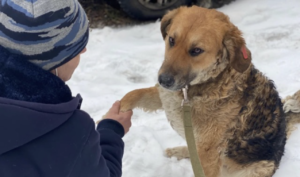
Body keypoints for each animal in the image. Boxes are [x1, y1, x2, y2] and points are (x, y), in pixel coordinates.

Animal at [119, 5, 298, 177]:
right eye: (171, 40)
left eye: (196, 50)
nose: (164, 80)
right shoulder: (167, 97)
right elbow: (134, 94)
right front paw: (119, 112)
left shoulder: (208, 152)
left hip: (256, 168)